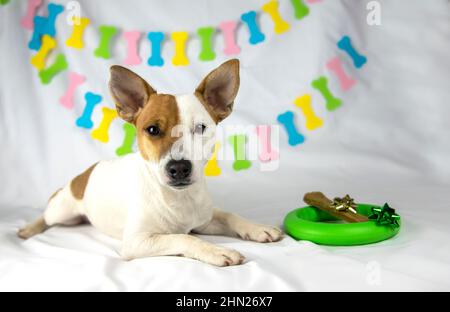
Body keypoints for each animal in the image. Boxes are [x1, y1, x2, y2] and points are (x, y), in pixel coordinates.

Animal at [20, 59, 284, 266]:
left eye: (200, 128)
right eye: (153, 129)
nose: (179, 168)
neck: (177, 197)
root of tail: (86, 173)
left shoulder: (205, 220)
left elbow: (228, 215)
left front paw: (257, 228)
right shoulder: (137, 242)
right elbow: (183, 237)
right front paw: (215, 250)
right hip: (60, 210)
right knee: (46, 215)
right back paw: (29, 228)